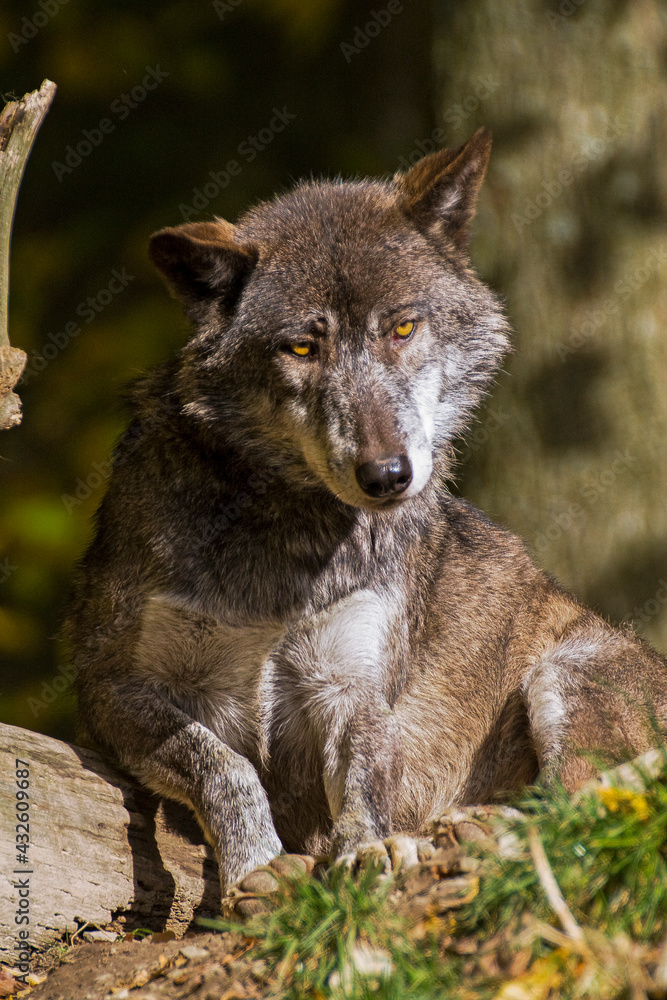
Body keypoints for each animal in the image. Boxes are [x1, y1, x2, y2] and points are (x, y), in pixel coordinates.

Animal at [67, 128, 667, 895]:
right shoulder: (112, 688)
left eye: (403, 328)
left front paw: (363, 854)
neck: (286, 550)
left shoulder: (353, 689)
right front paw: (256, 870)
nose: (387, 475)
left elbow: (362, 784)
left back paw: (474, 830)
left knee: (577, 804)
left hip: (566, 674)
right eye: (301, 346)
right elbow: (224, 765)